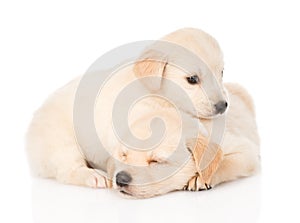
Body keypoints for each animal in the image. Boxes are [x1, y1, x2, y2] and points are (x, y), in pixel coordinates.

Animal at [26, 28, 260, 199]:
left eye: (221, 73)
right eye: (192, 79)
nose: (223, 106)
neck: (156, 93)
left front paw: (201, 176)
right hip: (60, 141)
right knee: (67, 168)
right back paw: (93, 176)